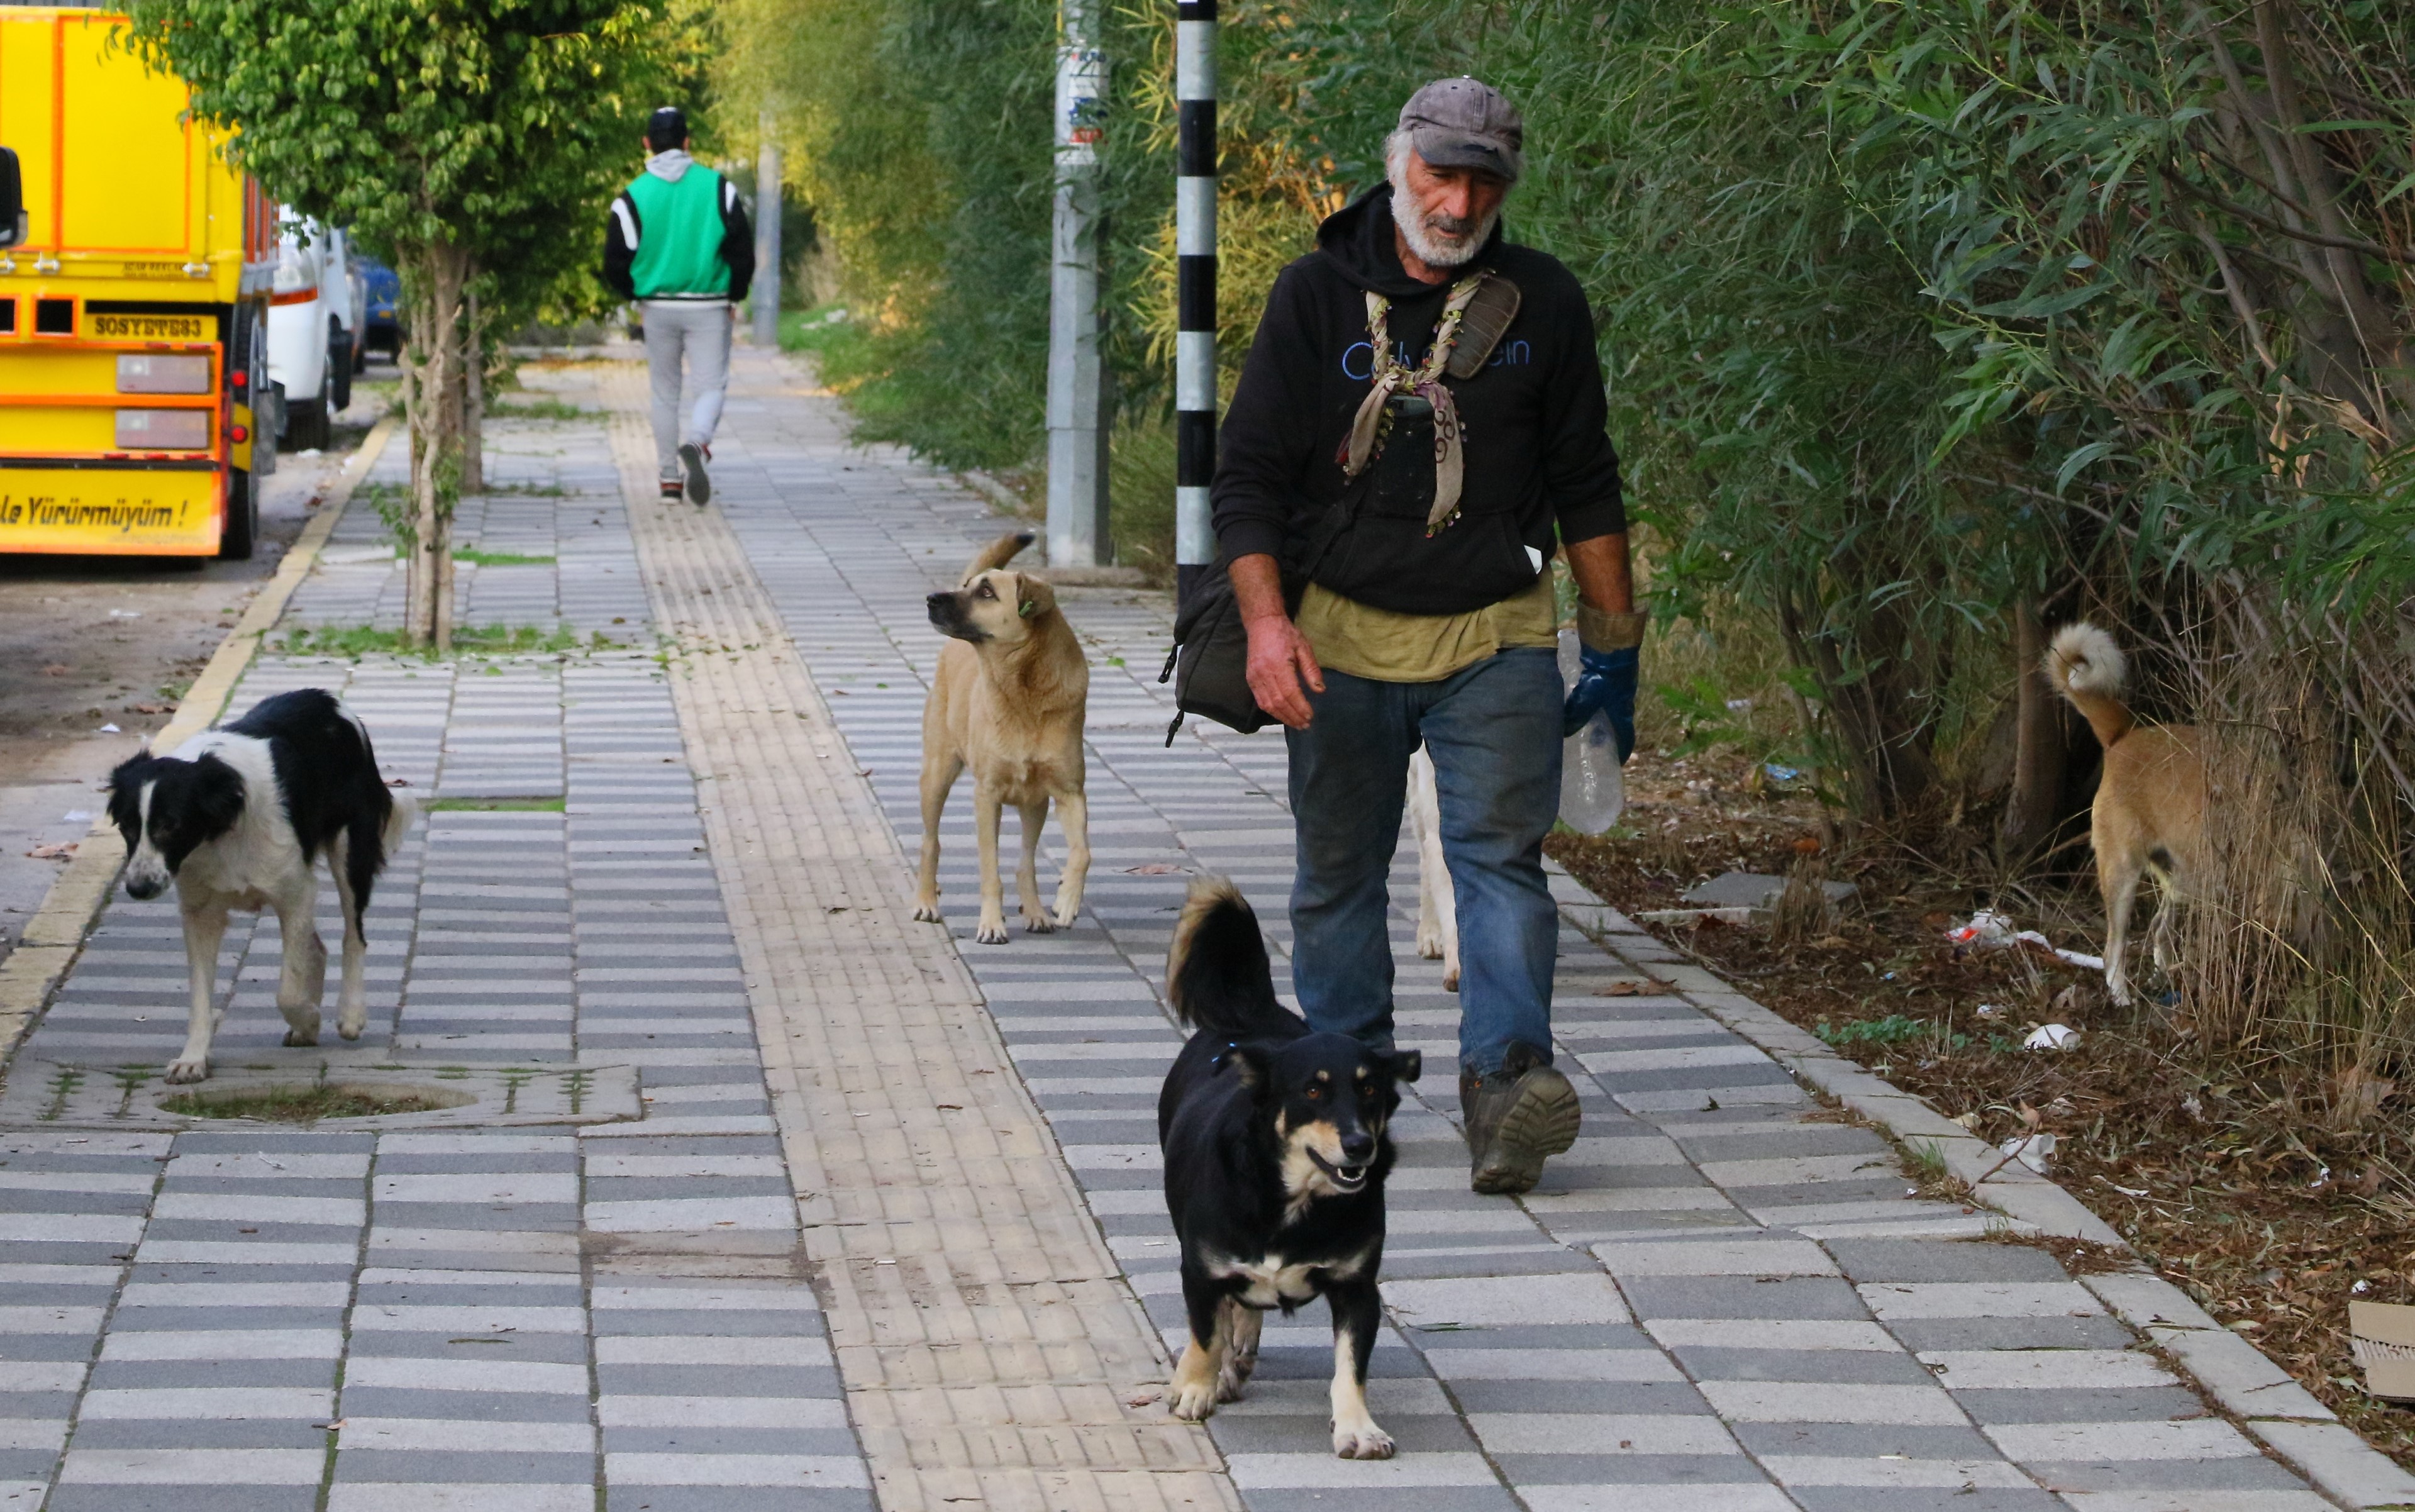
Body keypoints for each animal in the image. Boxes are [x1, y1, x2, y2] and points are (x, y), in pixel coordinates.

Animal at [107, 691, 415, 1077]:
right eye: (127, 827)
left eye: (171, 825)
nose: (138, 889)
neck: (220, 830)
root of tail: (329, 700)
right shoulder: (200, 912)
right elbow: (200, 995)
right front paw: (193, 1058)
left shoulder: (296, 893)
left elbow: (289, 989)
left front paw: (309, 1018)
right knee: (318, 947)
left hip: (350, 851)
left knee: (353, 936)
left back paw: (350, 1014)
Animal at [908, 524, 1091, 937]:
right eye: (969, 586)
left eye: (987, 592)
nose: (930, 599)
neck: (1023, 693)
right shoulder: (986, 796)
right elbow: (990, 869)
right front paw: (991, 924)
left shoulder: (1070, 792)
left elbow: (1083, 852)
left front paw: (1067, 900)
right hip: (936, 776)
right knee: (930, 843)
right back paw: (927, 902)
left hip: (1034, 804)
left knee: (1026, 860)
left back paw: (1036, 912)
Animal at [1149, 879, 1410, 1459]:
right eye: (1312, 1091)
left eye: (1371, 1091)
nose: (1360, 1145)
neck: (1293, 1201)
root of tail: (1256, 1015)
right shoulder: (1200, 1270)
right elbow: (1206, 1333)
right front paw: (1195, 1386)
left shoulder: (1358, 1288)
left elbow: (1350, 1366)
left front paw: (1358, 1427)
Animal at [2038, 618, 2212, 1004]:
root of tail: (2123, 737)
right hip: (2123, 874)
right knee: (2112, 950)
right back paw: (2121, 996)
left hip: (2181, 880)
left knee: (2159, 930)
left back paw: (2165, 980)